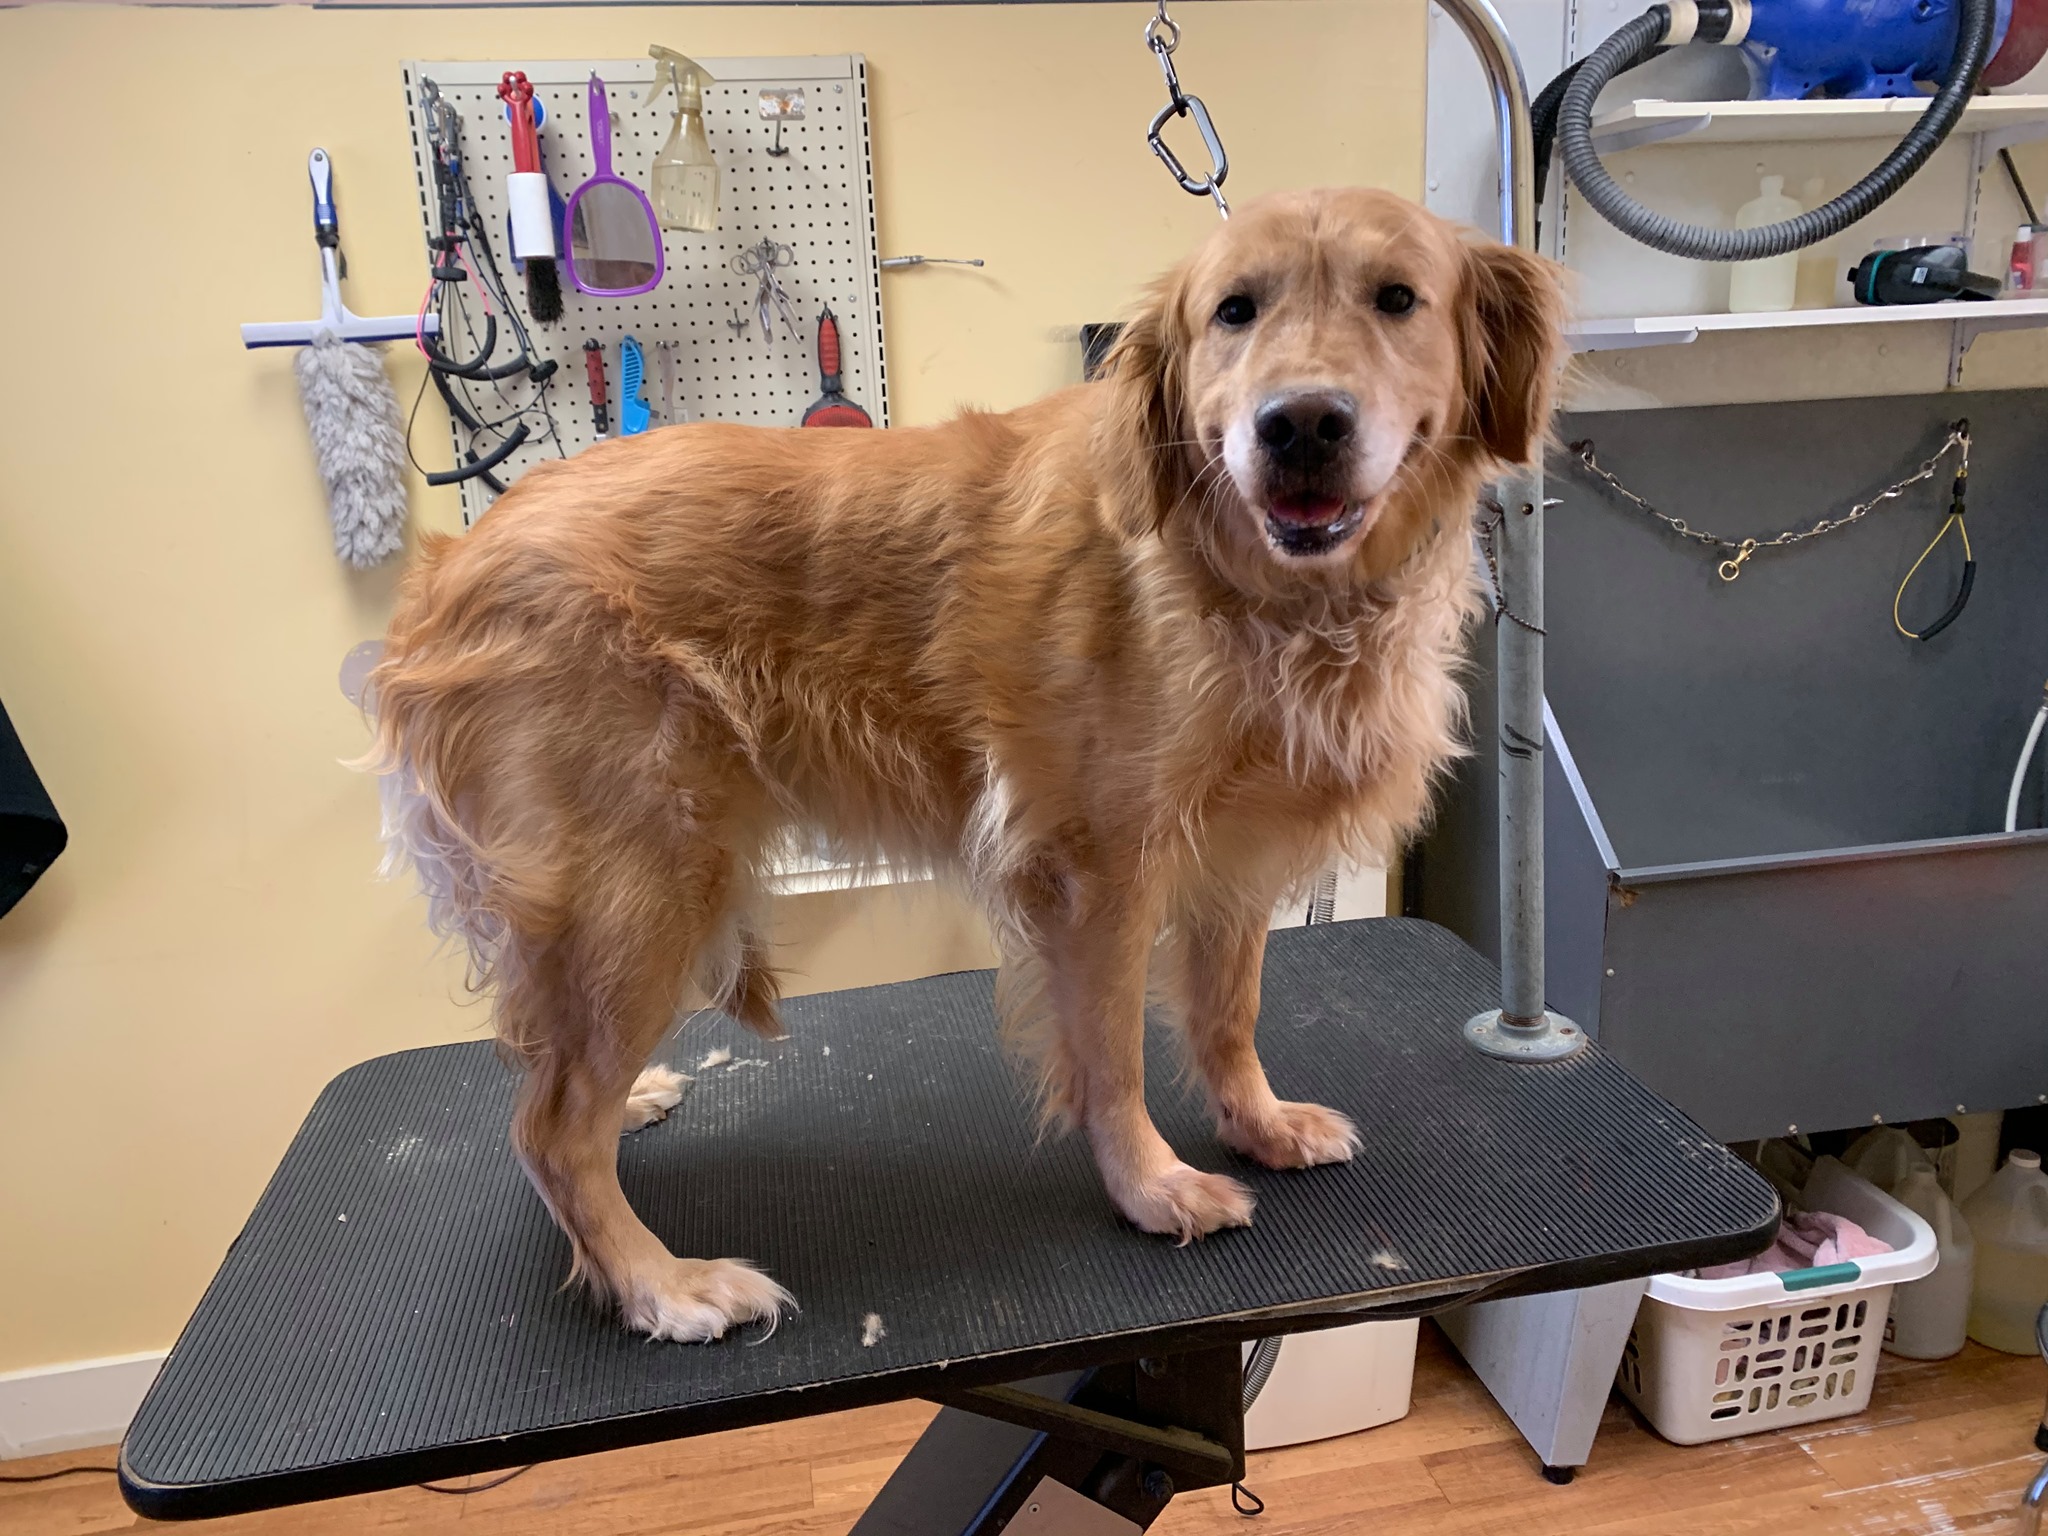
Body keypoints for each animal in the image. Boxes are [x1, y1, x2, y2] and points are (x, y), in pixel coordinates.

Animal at [367, 187, 1567, 1343]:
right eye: (1235, 311)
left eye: (1397, 298)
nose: (1301, 424)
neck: (1245, 581)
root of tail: (454, 564)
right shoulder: (1099, 874)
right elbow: (1114, 1055)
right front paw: (1152, 1188)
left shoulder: (1232, 859)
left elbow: (1229, 1013)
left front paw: (1255, 1125)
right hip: (643, 890)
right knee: (549, 1128)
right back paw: (659, 1284)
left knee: (553, 1081)